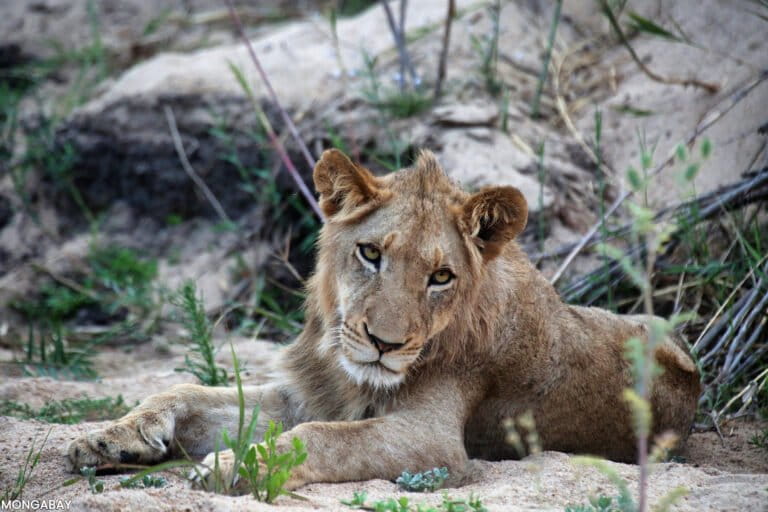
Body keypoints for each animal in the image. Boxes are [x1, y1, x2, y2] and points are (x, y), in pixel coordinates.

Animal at [67, 149, 701, 490]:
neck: (348, 369)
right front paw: (108, 438)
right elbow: (186, 392)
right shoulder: (307, 395)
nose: (383, 343)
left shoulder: (433, 441)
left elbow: (322, 440)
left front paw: (230, 467)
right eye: (371, 253)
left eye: (441, 276)